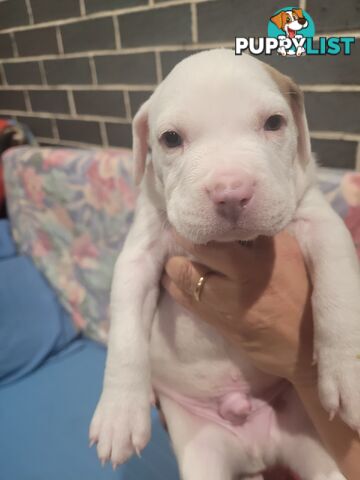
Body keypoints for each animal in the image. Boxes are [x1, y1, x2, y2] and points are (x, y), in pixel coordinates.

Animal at [90, 49, 360, 480]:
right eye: (170, 139)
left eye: (274, 123)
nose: (231, 193)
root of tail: (257, 452)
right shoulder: (139, 256)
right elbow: (126, 334)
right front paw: (120, 414)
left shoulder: (320, 221)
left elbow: (339, 289)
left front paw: (348, 373)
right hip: (203, 453)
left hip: (312, 446)